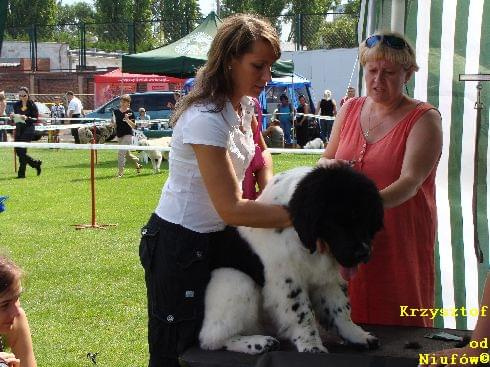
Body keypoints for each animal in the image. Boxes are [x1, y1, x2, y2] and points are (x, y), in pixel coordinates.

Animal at [198, 165, 382, 356]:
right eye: (337, 221)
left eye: (367, 219)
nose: (363, 252)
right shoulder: (287, 279)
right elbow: (303, 313)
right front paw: (311, 345)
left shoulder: (327, 278)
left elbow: (340, 308)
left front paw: (357, 335)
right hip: (235, 279)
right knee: (211, 338)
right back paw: (259, 343)